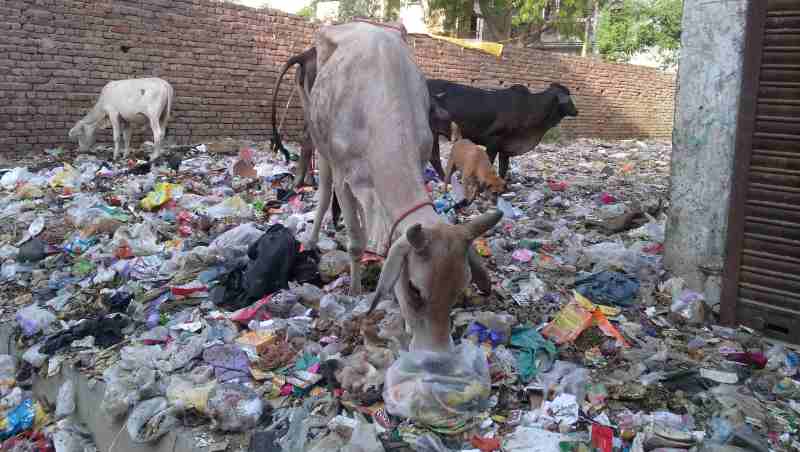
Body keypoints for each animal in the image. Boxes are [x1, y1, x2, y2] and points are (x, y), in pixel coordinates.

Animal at [428, 80, 580, 179]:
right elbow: (489, 162)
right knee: (434, 157)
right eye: (568, 97)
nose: (576, 111)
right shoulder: (494, 140)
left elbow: (503, 167)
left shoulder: (505, 147)